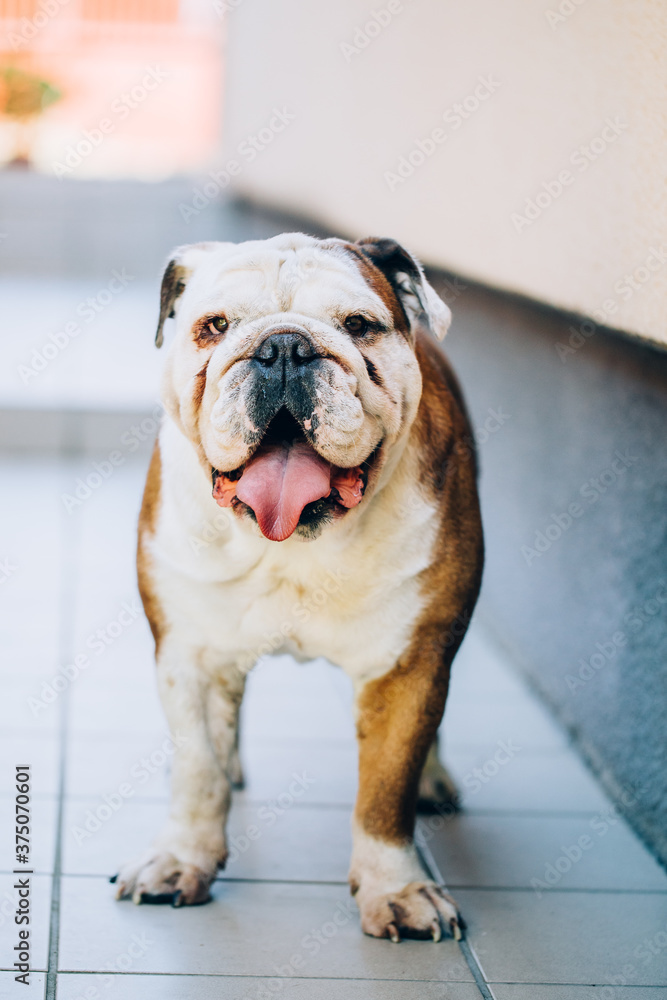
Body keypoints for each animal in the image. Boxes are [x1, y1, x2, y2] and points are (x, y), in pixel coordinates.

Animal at [112, 230, 482, 940]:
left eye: (359, 326)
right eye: (214, 327)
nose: (284, 347)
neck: (293, 547)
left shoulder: (409, 665)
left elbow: (386, 791)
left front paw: (397, 889)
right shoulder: (190, 656)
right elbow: (199, 771)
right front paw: (181, 860)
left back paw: (435, 779)